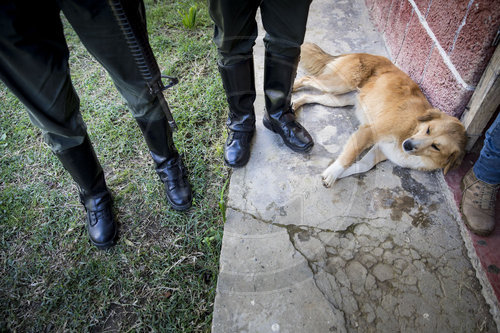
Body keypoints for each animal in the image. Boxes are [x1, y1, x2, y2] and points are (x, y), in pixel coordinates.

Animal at [292, 42, 466, 187]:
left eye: (436, 146)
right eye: (429, 129)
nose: (407, 145)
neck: (412, 128)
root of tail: (360, 53)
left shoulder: (381, 150)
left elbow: (362, 166)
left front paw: (337, 172)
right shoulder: (369, 131)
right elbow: (349, 156)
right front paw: (333, 173)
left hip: (339, 99)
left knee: (310, 96)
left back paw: (295, 103)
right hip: (338, 84)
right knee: (307, 78)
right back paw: (291, 88)